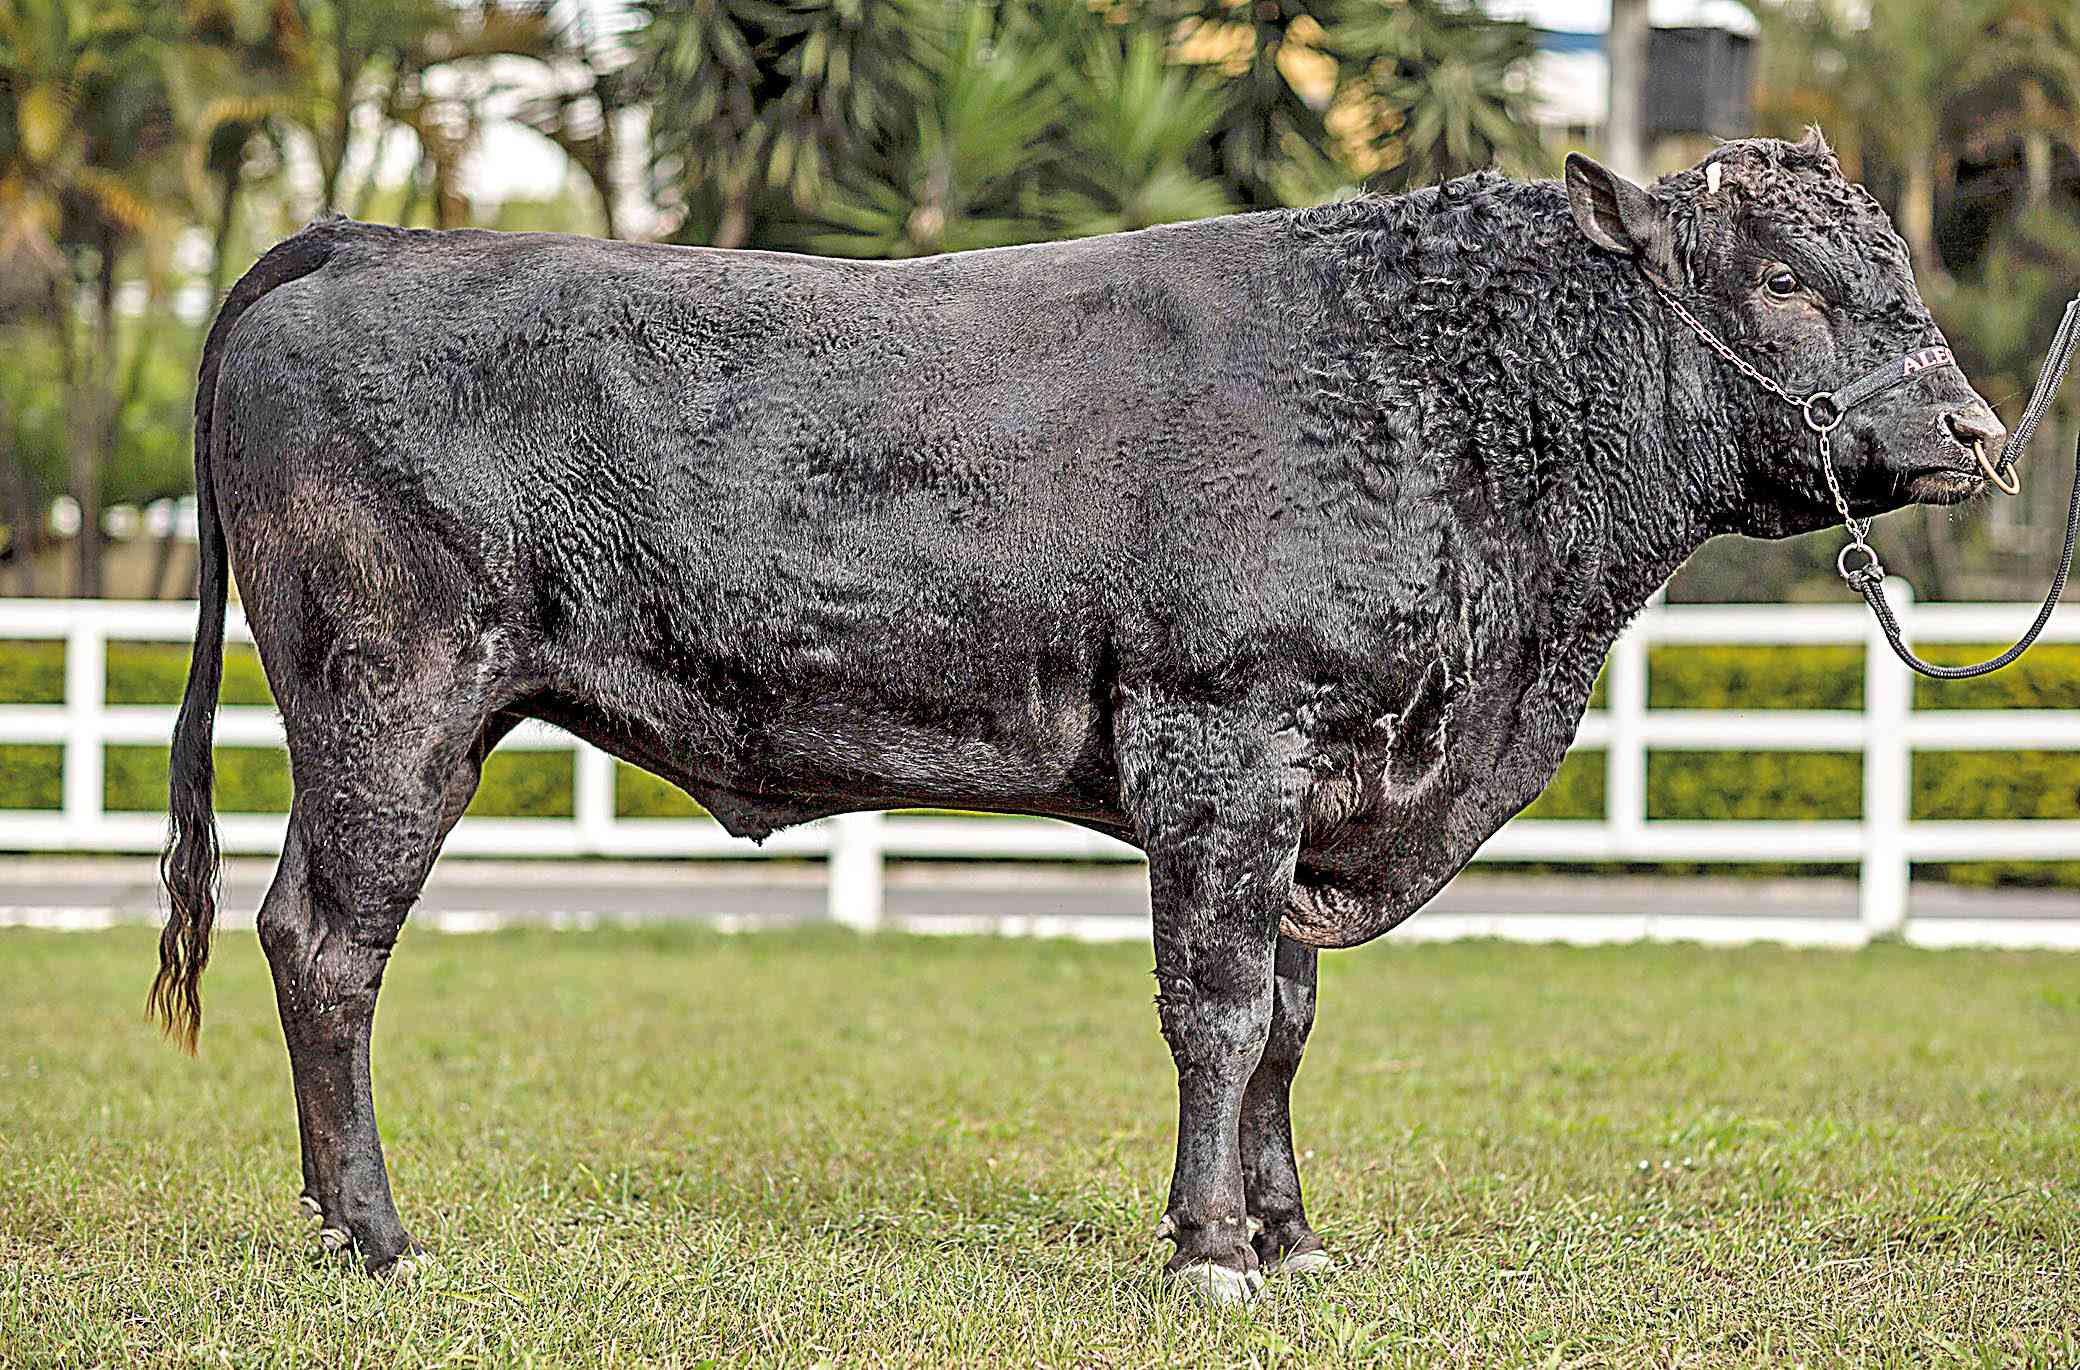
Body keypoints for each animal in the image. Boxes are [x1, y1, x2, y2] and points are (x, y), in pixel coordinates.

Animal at [150, 142, 1996, 1305]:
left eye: (1894, 267)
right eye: (1782, 277)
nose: (1978, 431)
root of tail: (366, 237)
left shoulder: (1306, 779)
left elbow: (1292, 1022)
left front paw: (1292, 1238)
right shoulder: (1226, 744)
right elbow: (1221, 1013)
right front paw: (1210, 1252)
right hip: (394, 701)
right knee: (326, 942)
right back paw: (380, 1236)